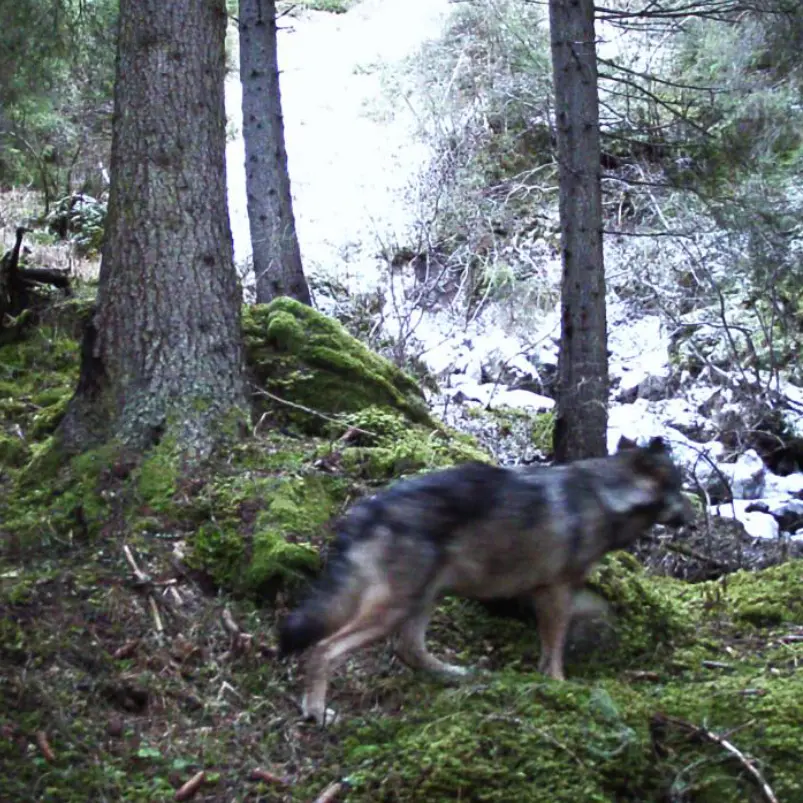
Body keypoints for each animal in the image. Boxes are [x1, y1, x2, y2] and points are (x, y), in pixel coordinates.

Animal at [278, 436, 694, 725]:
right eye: (680, 487)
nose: (692, 516)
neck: (605, 496)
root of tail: (366, 510)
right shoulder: (558, 591)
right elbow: (556, 649)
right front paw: (559, 686)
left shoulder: (546, 593)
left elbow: (547, 648)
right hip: (396, 607)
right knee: (325, 648)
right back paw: (316, 711)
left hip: (425, 597)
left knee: (408, 648)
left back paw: (458, 675)